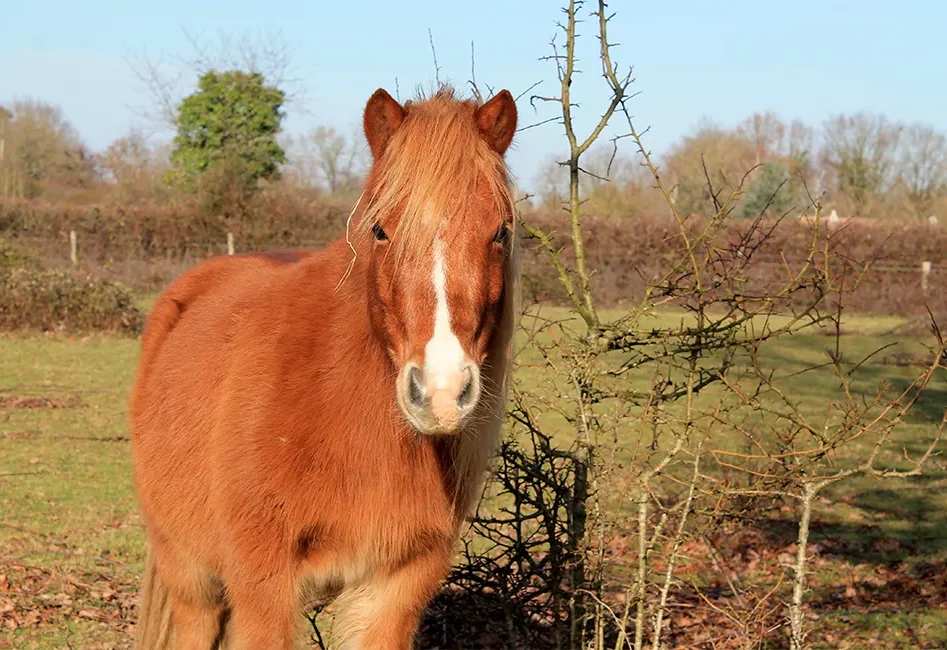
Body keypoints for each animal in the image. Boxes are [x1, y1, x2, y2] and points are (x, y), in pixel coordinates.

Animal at [128, 84, 520, 650]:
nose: (442, 392)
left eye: (499, 233)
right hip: (190, 580)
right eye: (380, 230)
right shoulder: (263, 585)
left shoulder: (396, 588)